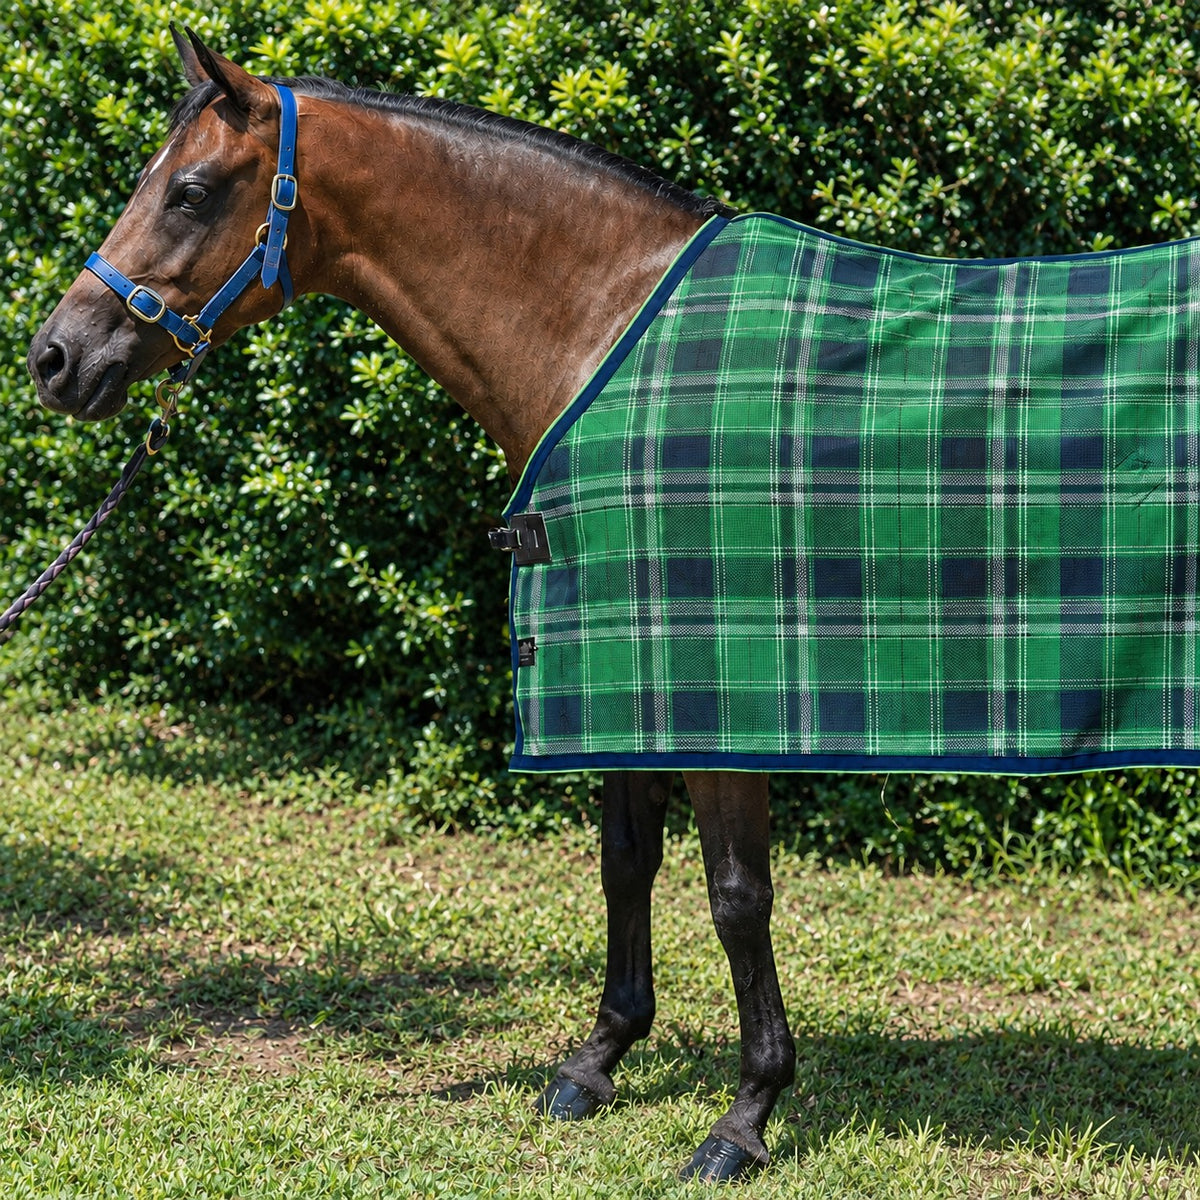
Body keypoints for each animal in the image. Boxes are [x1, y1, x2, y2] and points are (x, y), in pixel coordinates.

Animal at [27, 30, 793, 1182]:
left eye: (191, 192)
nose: (53, 357)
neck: (612, 339)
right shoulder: (617, 658)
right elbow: (627, 863)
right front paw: (598, 1060)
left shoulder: (710, 682)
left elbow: (737, 895)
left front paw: (746, 1115)